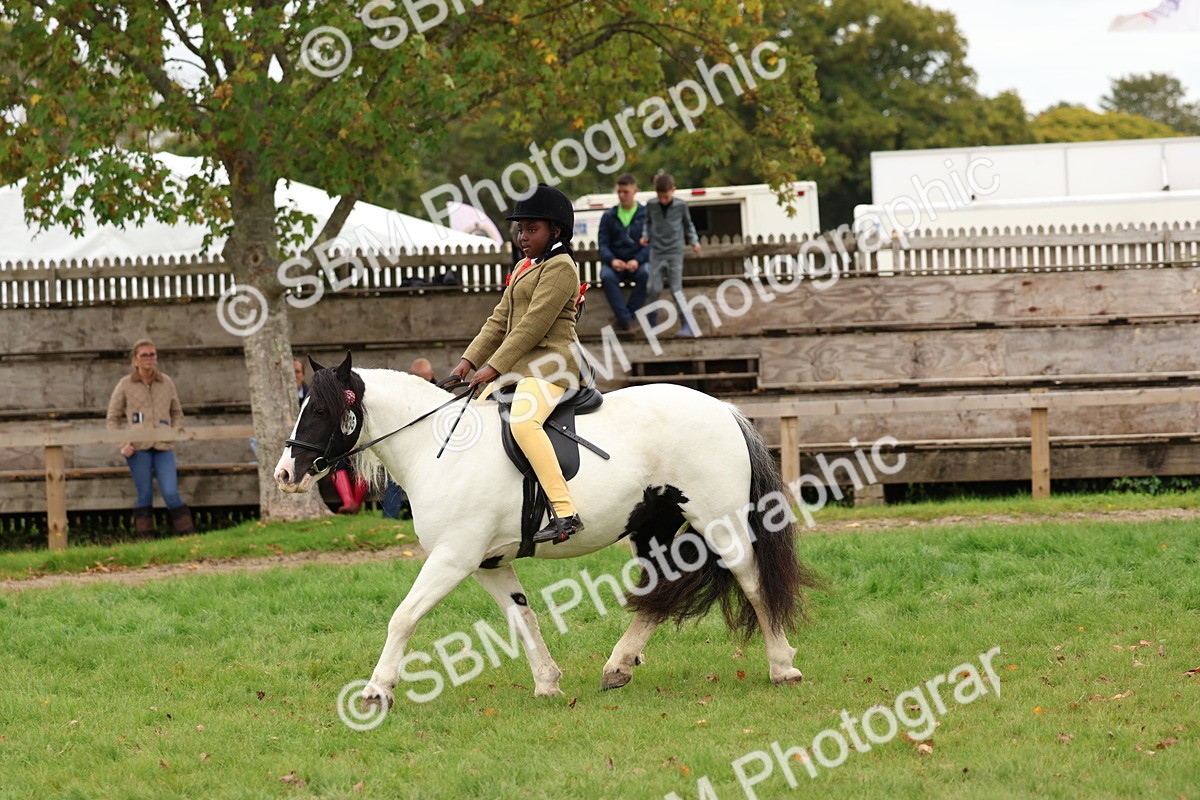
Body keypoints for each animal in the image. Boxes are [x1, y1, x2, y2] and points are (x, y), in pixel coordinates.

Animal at [274, 352, 820, 708]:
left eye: (320, 409)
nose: (284, 474)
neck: (439, 448)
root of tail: (722, 409)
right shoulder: (488, 563)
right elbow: (523, 619)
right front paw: (548, 682)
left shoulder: (453, 557)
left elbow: (403, 617)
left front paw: (377, 689)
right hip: (655, 526)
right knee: (661, 590)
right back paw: (618, 665)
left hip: (718, 522)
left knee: (753, 583)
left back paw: (783, 666)